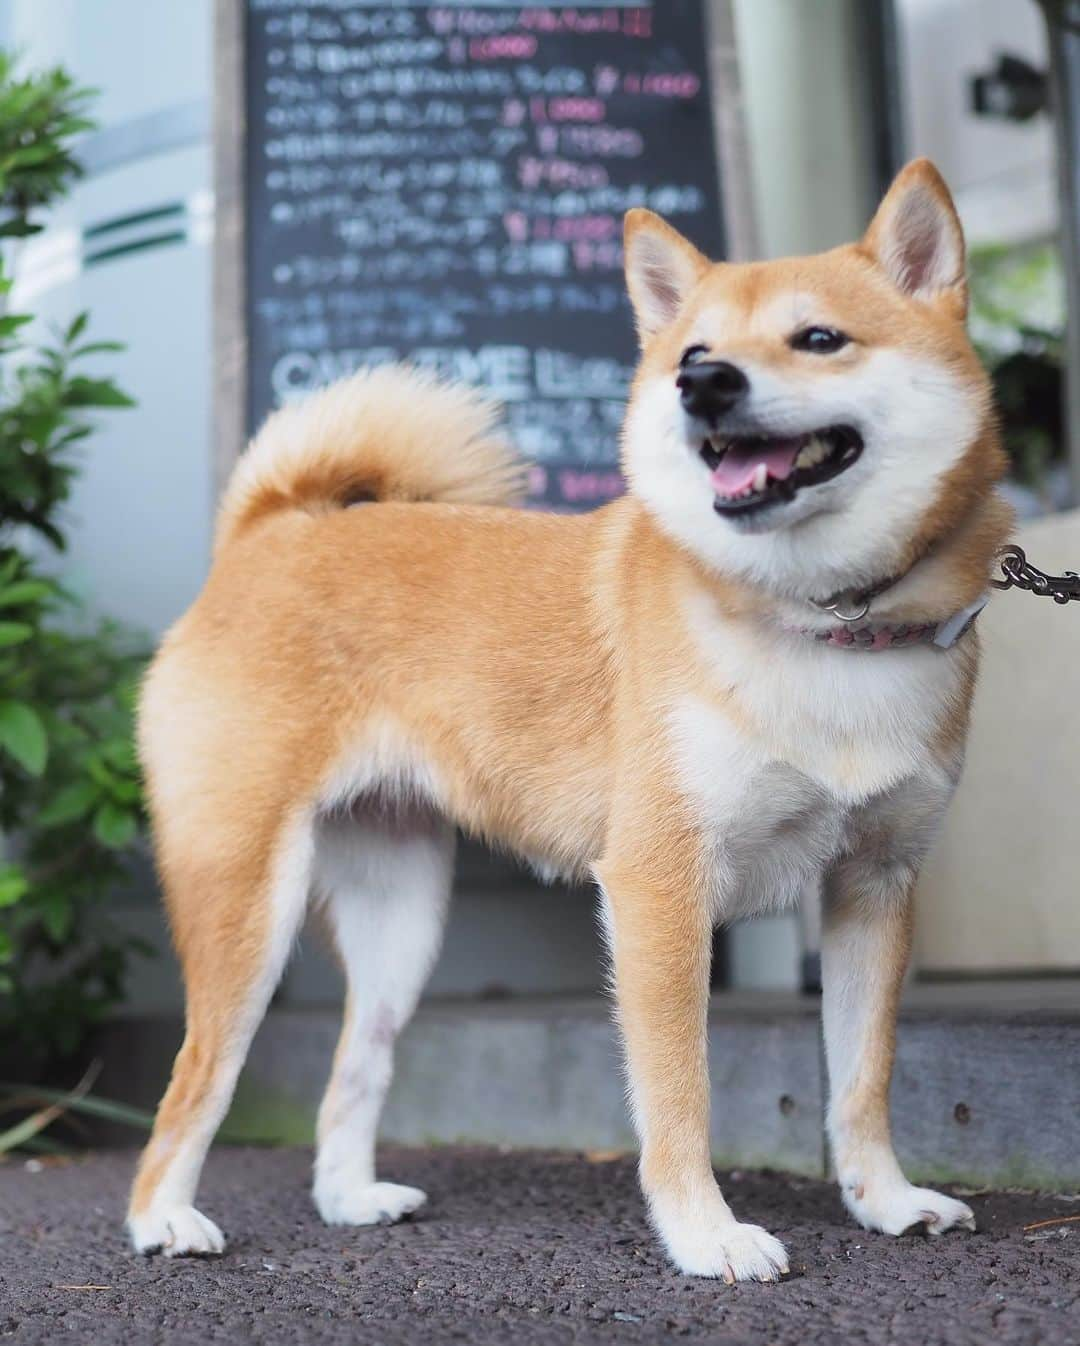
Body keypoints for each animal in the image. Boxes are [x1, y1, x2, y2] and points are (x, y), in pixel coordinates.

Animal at [128, 160, 1012, 1281]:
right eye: (692, 356)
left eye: (820, 338)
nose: (704, 386)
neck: (820, 623)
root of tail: (267, 533)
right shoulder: (658, 886)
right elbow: (680, 1093)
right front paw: (705, 1233)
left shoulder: (874, 884)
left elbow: (863, 1078)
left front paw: (885, 1201)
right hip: (247, 901)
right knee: (195, 1075)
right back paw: (162, 1217)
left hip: (400, 919)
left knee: (355, 1063)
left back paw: (348, 1195)